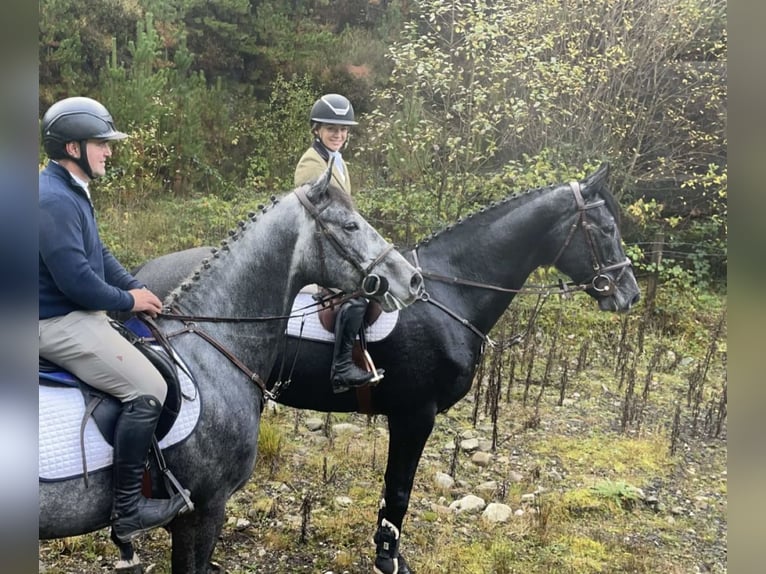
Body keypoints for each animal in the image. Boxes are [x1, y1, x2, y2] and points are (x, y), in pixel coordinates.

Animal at [132, 164, 640, 572]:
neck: (451, 292)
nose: (629, 294)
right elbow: (399, 490)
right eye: (606, 227)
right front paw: (387, 556)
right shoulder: (415, 414)